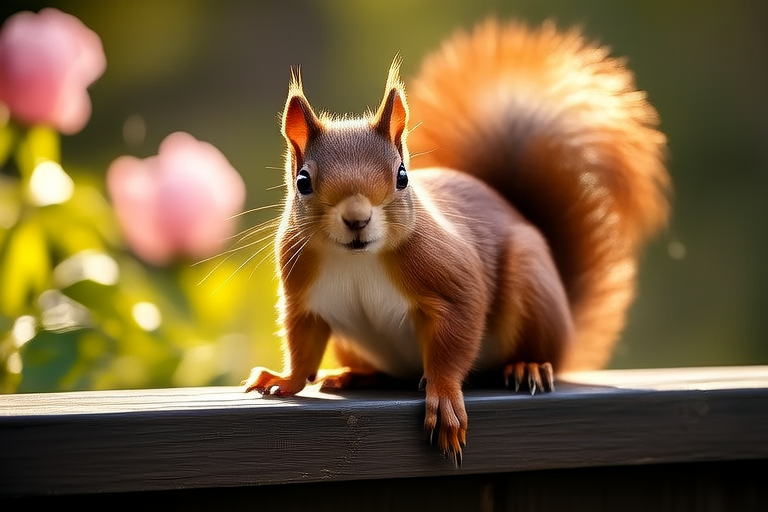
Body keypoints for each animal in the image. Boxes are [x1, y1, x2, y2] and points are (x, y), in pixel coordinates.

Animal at [245, 19, 670, 466]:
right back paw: (353, 375)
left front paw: (445, 398)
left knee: (540, 351)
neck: (358, 259)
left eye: (402, 176)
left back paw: (529, 366)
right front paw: (284, 379)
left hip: (533, 286)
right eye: (303, 182)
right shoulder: (303, 295)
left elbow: (458, 333)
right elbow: (301, 345)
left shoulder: (449, 277)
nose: (357, 219)